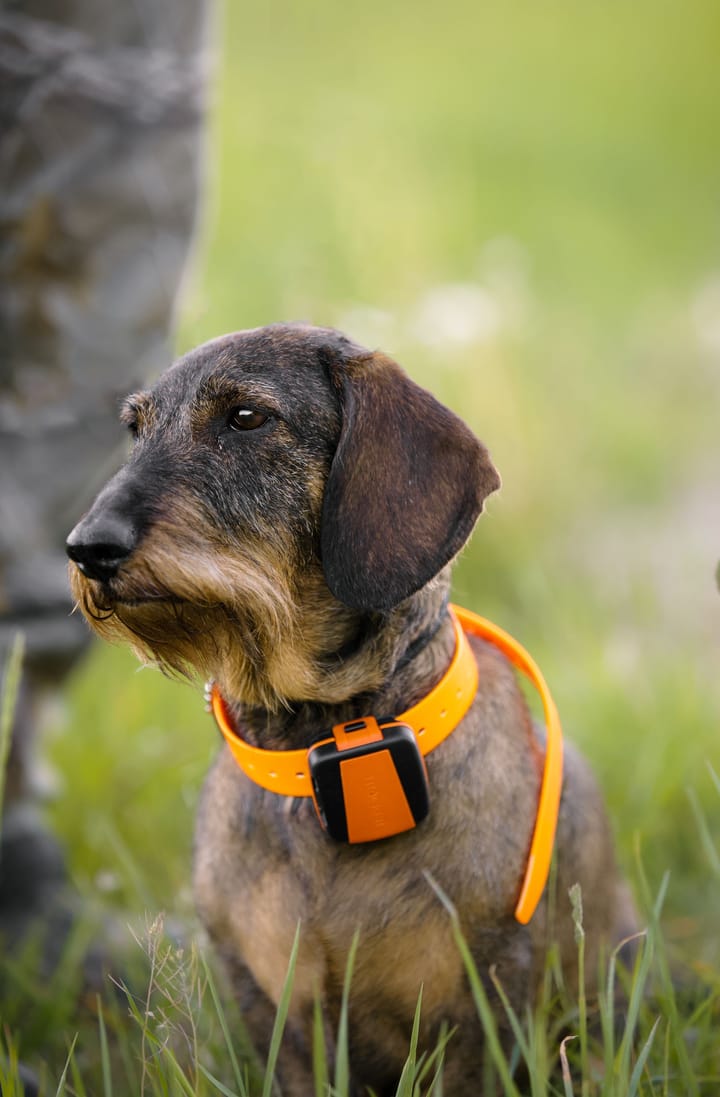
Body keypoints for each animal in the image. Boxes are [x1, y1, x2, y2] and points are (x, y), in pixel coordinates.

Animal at [64, 324, 632, 1097]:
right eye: (134, 428)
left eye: (246, 417)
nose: (87, 547)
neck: (325, 745)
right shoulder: (272, 1006)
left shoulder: (482, 1008)